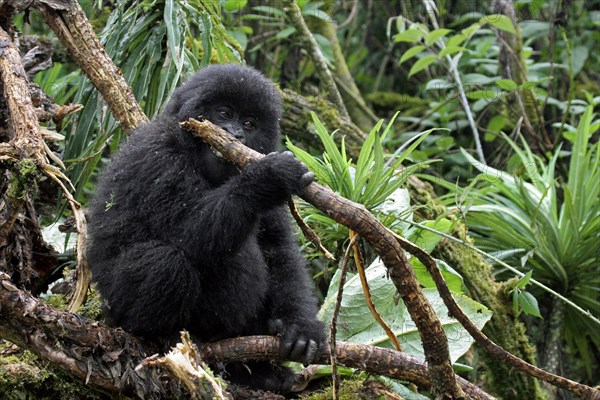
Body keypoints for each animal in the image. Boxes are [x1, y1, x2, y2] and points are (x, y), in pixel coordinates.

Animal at [86, 64, 326, 392]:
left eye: (249, 123)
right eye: (223, 113)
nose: (235, 134)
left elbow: (278, 250)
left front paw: (300, 327)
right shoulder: (156, 155)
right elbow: (188, 233)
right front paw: (267, 178)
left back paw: (259, 372)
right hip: (115, 314)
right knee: (165, 261)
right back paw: (159, 338)